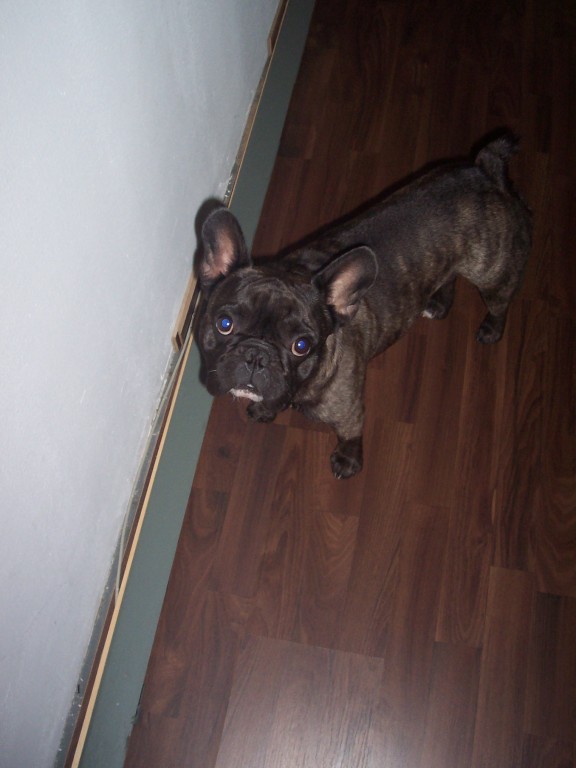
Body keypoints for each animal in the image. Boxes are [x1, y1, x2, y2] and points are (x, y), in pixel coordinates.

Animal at [196, 133, 532, 478]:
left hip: (491, 273)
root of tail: (484, 169)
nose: (256, 355)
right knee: (448, 276)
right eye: (224, 324)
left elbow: (351, 433)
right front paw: (265, 408)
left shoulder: (348, 410)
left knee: (500, 300)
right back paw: (438, 303)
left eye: (301, 346)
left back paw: (491, 328)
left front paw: (348, 459)